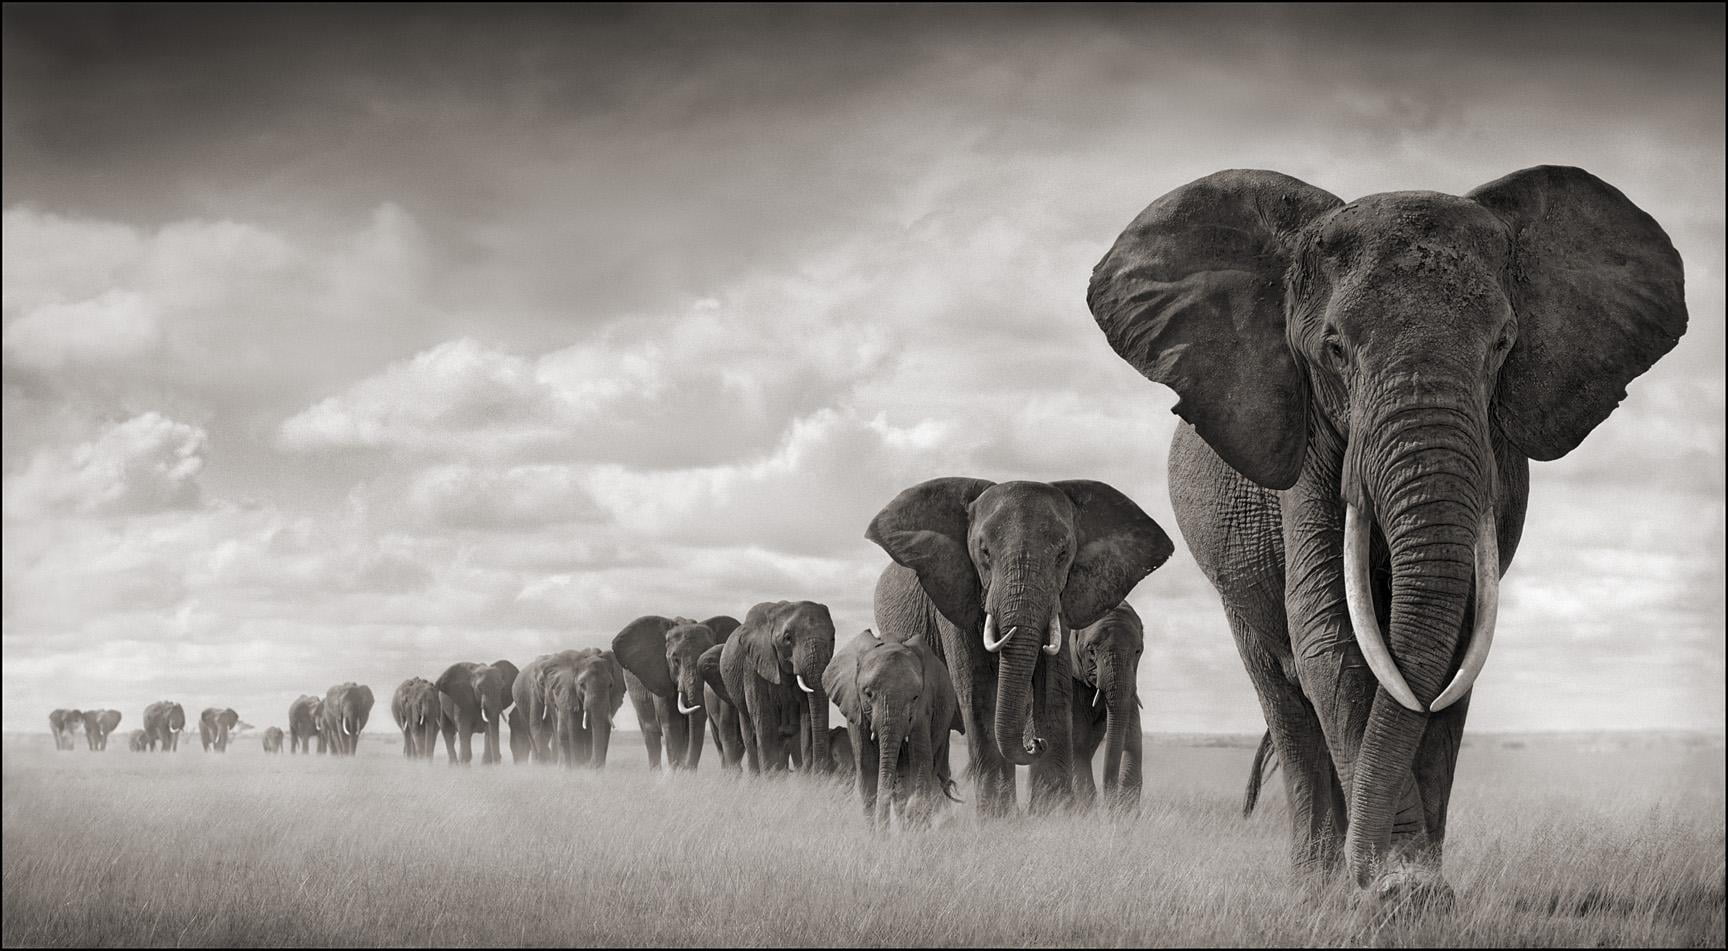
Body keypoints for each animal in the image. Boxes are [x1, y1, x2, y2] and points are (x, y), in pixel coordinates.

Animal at [612, 615, 740, 770]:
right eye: (676, 660)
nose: (687, 768)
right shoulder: (660, 678)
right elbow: (672, 726)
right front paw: (677, 773)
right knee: (651, 737)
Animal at [717, 600, 837, 775]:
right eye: (788, 638)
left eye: (833, 638)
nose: (820, 773)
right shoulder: (753, 665)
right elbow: (764, 720)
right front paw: (771, 779)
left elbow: (807, 719)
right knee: (750, 735)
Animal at [823, 627, 963, 827]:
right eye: (868, 694)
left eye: (914, 697)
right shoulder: (854, 705)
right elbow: (868, 768)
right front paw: (876, 832)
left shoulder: (924, 706)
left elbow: (920, 761)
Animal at [1068, 602, 1146, 811]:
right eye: (1091, 651)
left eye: (1138, 651)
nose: (1109, 804)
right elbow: (1077, 745)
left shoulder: (1130, 685)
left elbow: (1133, 741)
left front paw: (1122, 814)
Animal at [1087, 166, 1687, 899]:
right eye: (1335, 348)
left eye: (1503, 344)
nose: (1376, 876)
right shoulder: (1307, 440)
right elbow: (1331, 634)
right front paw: (1395, 894)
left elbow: (1457, 644)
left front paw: (1413, 890)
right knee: (1285, 696)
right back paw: (1315, 885)